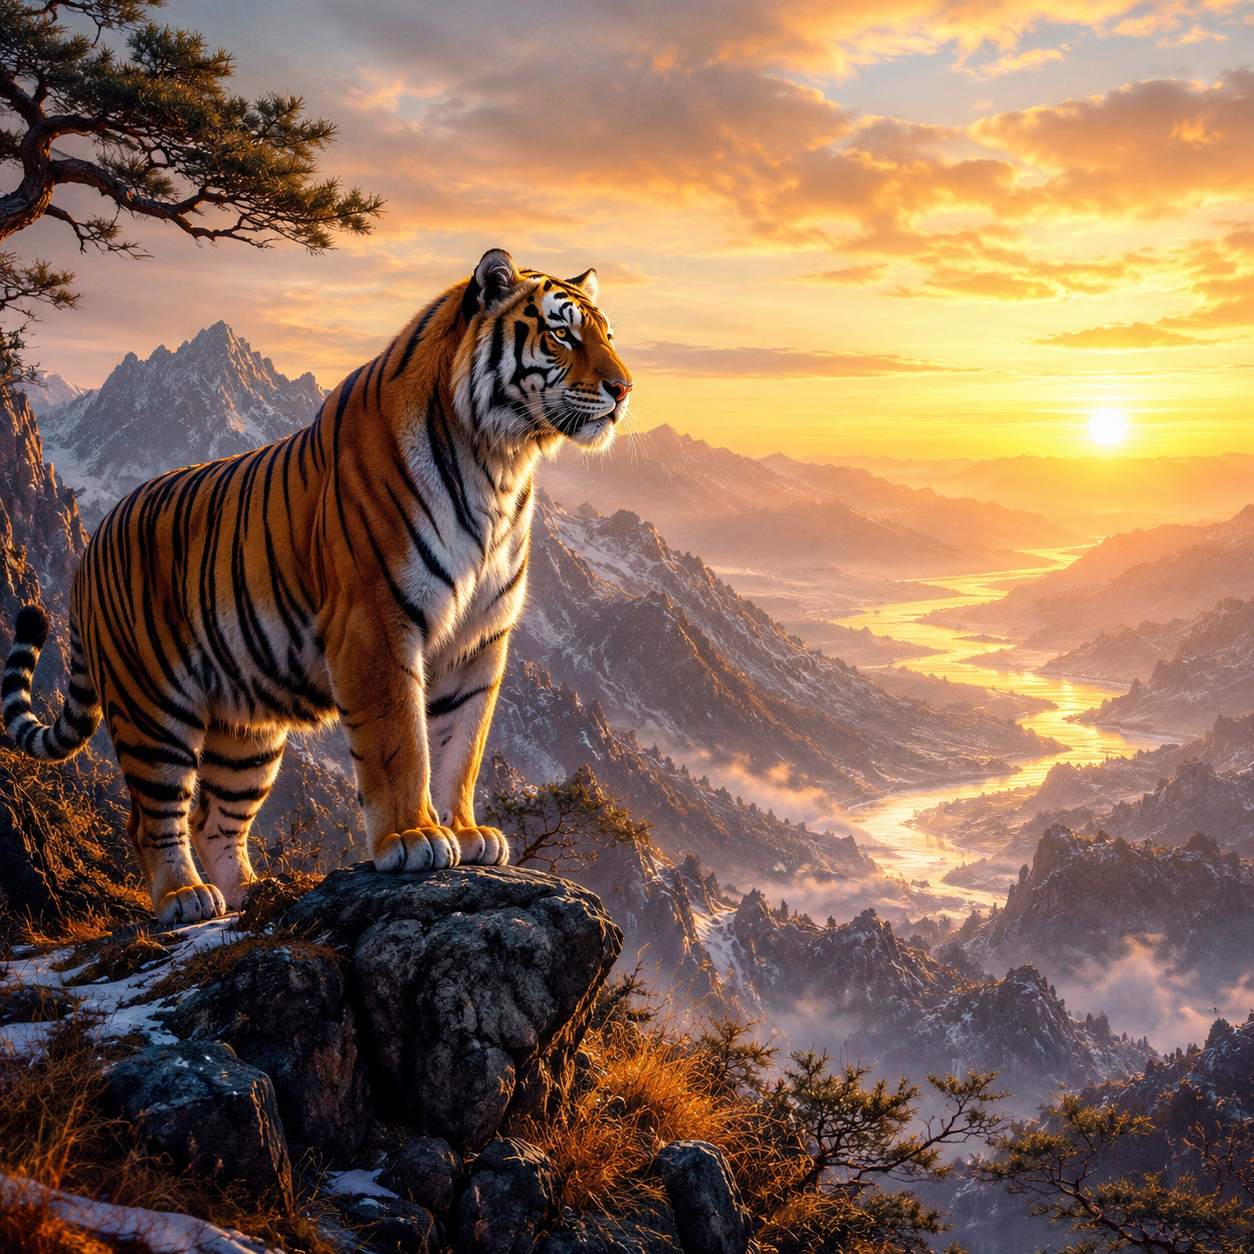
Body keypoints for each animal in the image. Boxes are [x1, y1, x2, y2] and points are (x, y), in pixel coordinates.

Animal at [2, 249, 633, 925]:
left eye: (608, 334)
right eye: (561, 333)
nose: (625, 390)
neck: (500, 460)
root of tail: (91, 543)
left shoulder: (479, 639)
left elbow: (461, 746)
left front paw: (466, 833)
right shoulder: (377, 622)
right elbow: (400, 741)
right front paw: (413, 837)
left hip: (247, 730)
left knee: (214, 819)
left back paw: (256, 893)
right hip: (153, 704)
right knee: (152, 819)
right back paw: (184, 898)